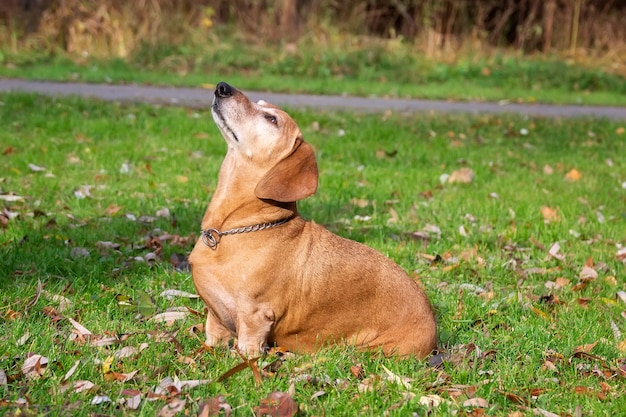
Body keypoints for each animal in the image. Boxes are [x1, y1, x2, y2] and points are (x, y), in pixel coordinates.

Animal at [188, 82, 436, 358]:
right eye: (260, 104)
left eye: (271, 119)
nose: (222, 87)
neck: (230, 231)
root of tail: (434, 330)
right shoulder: (215, 316)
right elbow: (213, 335)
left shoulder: (255, 316)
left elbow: (247, 346)